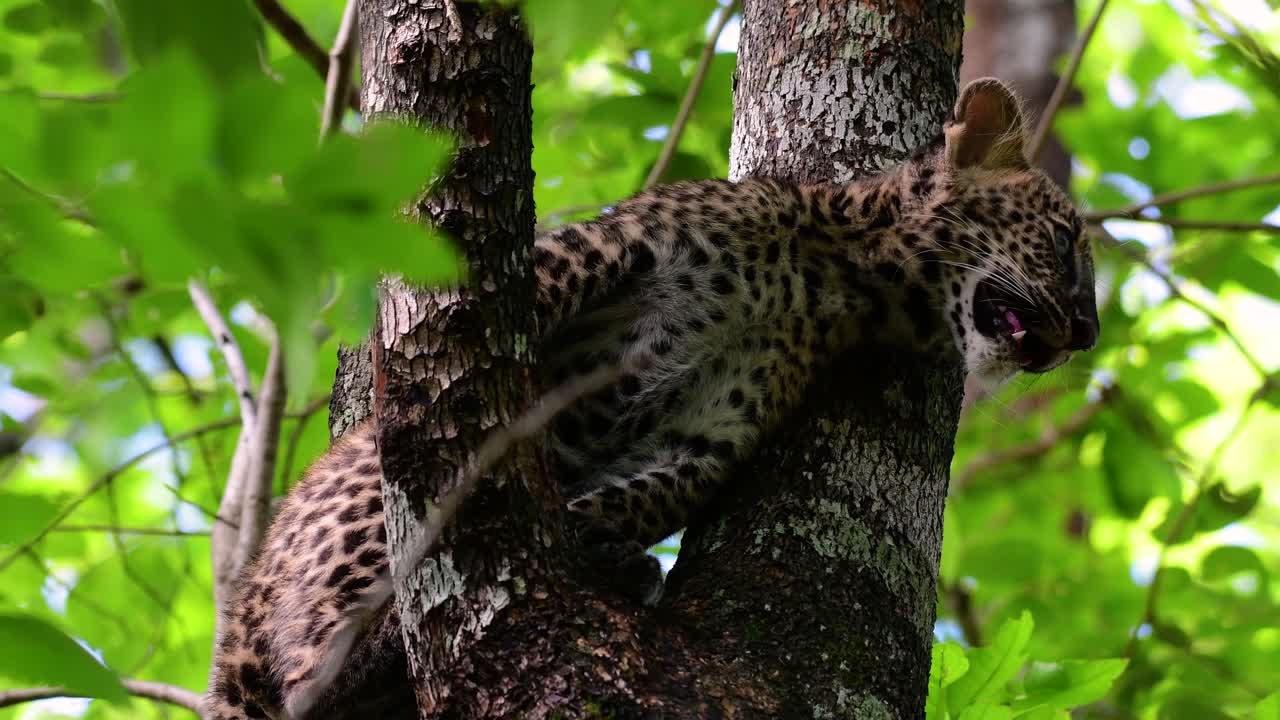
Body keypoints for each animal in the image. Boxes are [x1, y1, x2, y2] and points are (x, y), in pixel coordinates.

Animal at [204, 78, 1099, 720]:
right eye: (1065, 243)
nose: (1088, 334)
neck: (836, 274)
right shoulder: (602, 251)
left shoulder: (714, 429)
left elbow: (648, 493)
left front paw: (590, 532)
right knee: (310, 671)